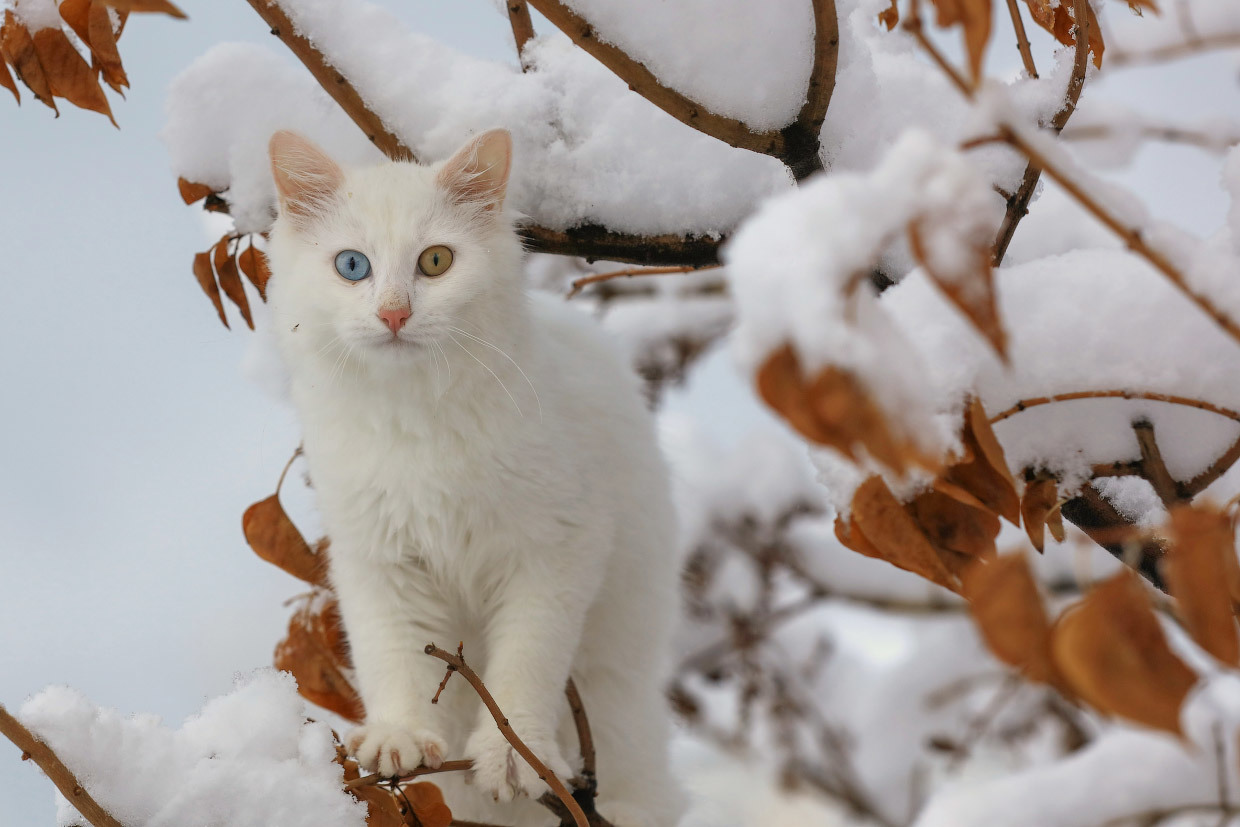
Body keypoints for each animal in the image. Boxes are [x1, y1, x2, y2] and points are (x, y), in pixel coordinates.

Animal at [265, 130, 684, 827]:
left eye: (435, 262)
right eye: (352, 267)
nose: (394, 313)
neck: (417, 425)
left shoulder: (557, 549)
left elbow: (526, 663)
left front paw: (514, 754)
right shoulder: (378, 560)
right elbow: (394, 656)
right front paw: (400, 737)